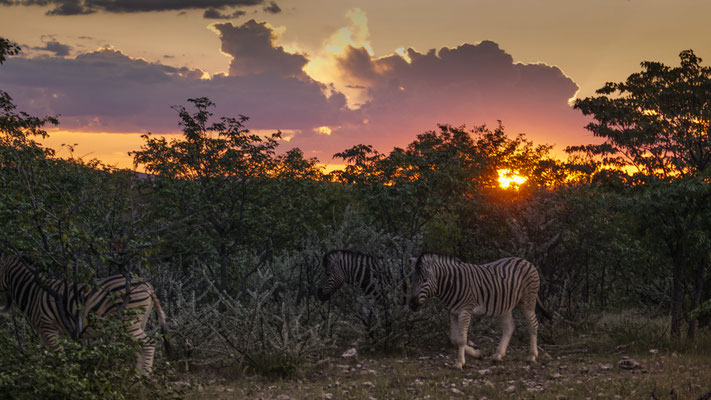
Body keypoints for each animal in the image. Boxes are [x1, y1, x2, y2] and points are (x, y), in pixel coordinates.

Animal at [0, 255, 171, 376]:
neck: (32, 293)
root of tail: (146, 284)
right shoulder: (45, 333)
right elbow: (49, 358)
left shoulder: (48, 327)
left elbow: (60, 357)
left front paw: (64, 380)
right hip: (139, 321)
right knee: (140, 348)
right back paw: (135, 379)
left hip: (128, 322)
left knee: (149, 344)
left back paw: (143, 380)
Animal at [408, 253, 548, 368]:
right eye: (411, 280)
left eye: (425, 280)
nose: (412, 304)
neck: (452, 283)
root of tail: (526, 261)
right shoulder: (453, 312)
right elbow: (454, 338)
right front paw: (477, 354)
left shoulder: (465, 310)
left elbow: (461, 339)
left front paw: (460, 362)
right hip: (505, 305)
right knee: (509, 327)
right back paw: (498, 355)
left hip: (527, 301)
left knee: (533, 324)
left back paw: (532, 356)